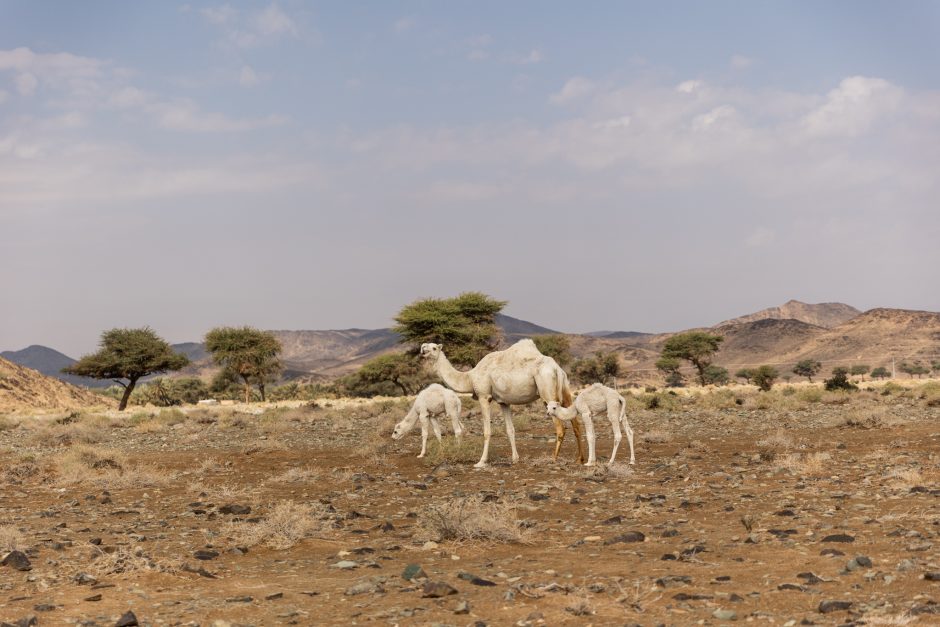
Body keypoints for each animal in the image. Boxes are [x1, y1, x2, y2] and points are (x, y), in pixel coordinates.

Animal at [416, 340, 580, 468]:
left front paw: (481, 462)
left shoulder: (484, 396)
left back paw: (554, 458)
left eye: (434, 348)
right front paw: (515, 459)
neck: (469, 377)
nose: (422, 349)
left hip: (547, 392)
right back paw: (580, 458)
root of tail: (557, 369)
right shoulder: (504, 402)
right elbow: (510, 430)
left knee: (560, 428)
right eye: (425, 345)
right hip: (565, 392)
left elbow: (487, 431)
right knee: (576, 424)